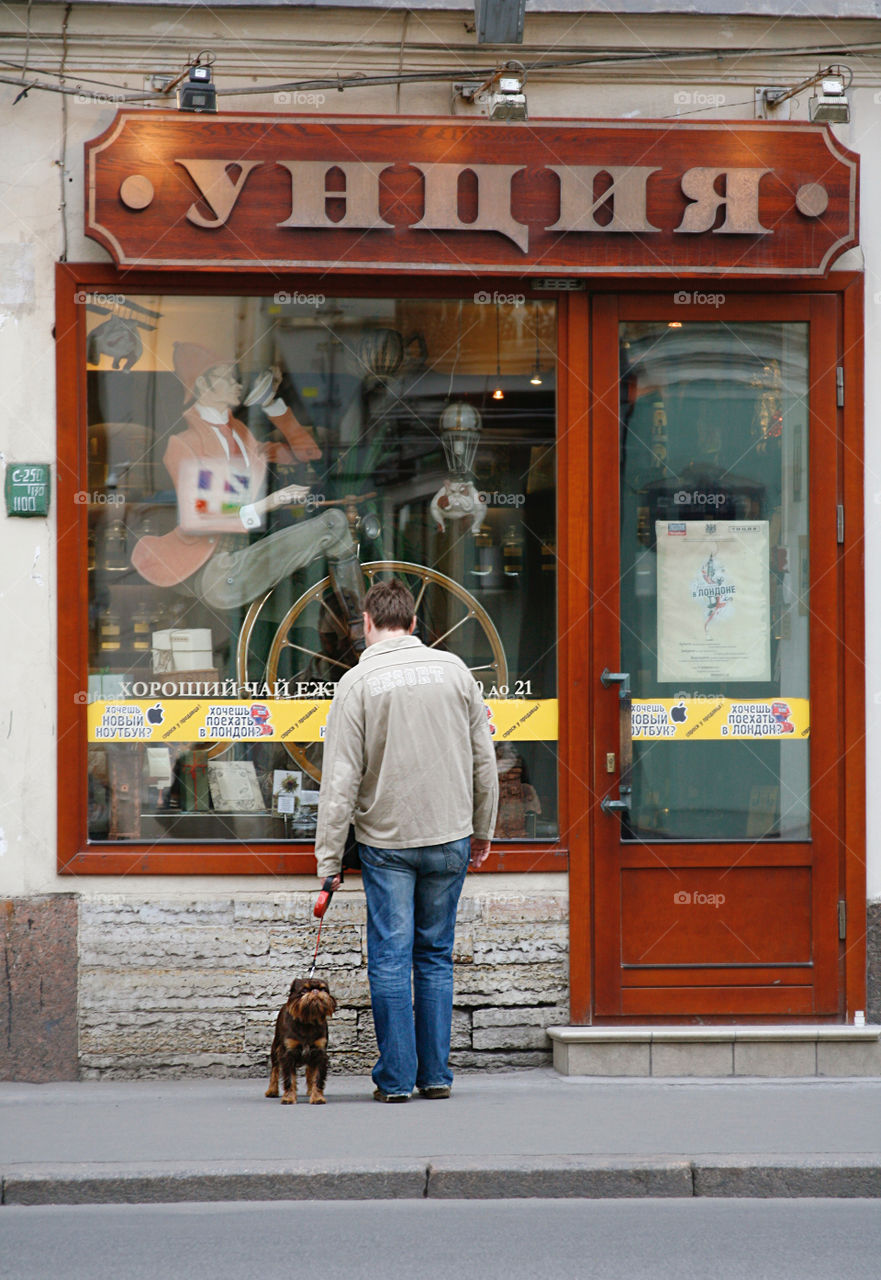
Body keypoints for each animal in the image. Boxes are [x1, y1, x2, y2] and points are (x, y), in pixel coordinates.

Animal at [263, 972, 335, 1105]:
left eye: (323, 989)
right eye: (305, 990)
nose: (315, 991)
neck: (307, 1022)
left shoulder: (320, 1053)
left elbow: (317, 1077)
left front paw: (317, 1097)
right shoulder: (288, 1054)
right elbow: (289, 1079)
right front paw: (289, 1097)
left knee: (310, 1070)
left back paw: (310, 1090)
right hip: (275, 1048)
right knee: (275, 1069)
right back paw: (272, 1090)